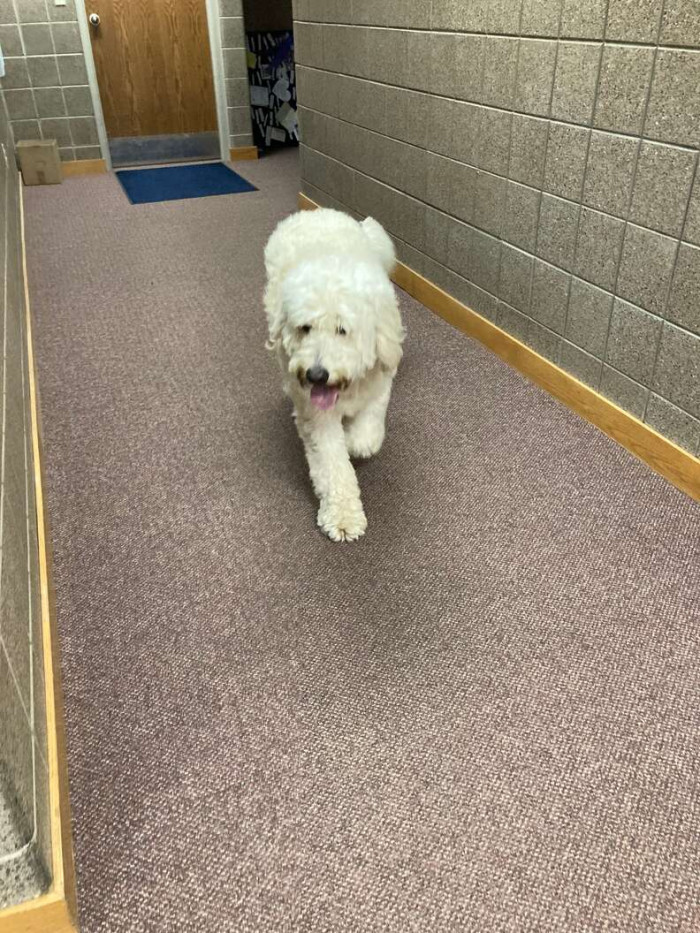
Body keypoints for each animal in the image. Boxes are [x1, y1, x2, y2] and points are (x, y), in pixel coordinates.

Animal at [262, 204, 404, 540]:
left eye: (342, 330)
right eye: (305, 328)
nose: (316, 375)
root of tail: (317, 211)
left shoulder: (381, 378)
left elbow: (368, 428)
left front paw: (358, 440)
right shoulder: (317, 415)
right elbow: (333, 465)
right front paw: (342, 517)